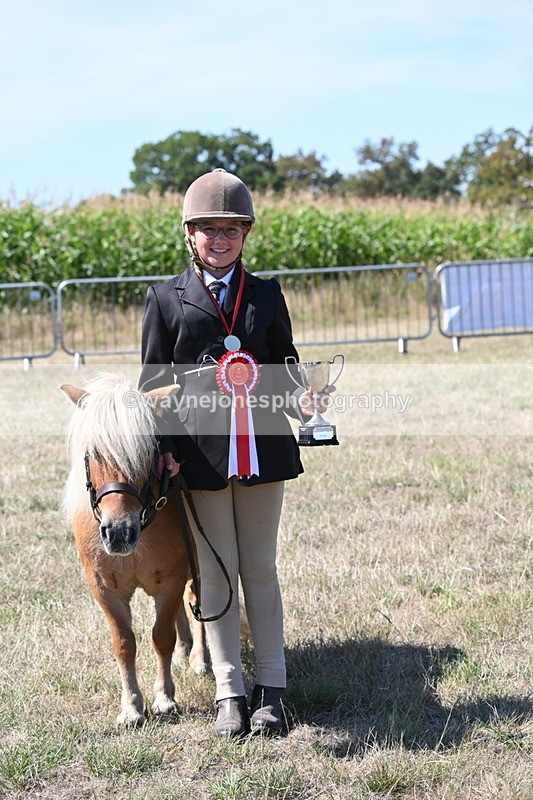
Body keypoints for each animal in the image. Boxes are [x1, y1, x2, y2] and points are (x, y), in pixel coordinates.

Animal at [60, 373, 207, 727]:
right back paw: (185, 652)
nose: (118, 532)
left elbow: (160, 636)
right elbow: (124, 643)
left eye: (146, 453)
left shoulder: (170, 580)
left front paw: (164, 698)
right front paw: (131, 707)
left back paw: (199, 659)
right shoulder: (104, 589)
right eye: (92, 454)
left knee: (196, 600)